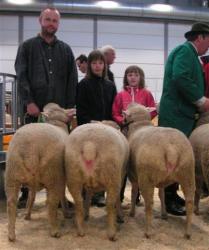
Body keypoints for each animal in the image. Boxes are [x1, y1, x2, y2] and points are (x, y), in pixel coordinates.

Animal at [4, 102, 75, 241]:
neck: (55, 123)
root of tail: (31, 148)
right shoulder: (61, 177)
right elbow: (62, 195)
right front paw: (66, 213)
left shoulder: (33, 183)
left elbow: (31, 197)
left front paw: (27, 214)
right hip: (53, 174)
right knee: (52, 203)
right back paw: (55, 230)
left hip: (12, 174)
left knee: (11, 203)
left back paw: (11, 234)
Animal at [123, 103, 195, 238]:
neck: (140, 125)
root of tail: (171, 149)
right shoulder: (162, 181)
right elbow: (161, 195)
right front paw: (164, 214)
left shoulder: (133, 176)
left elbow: (134, 192)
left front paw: (132, 212)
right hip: (187, 173)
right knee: (189, 201)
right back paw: (187, 232)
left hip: (147, 178)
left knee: (149, 203)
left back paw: (148, 231)